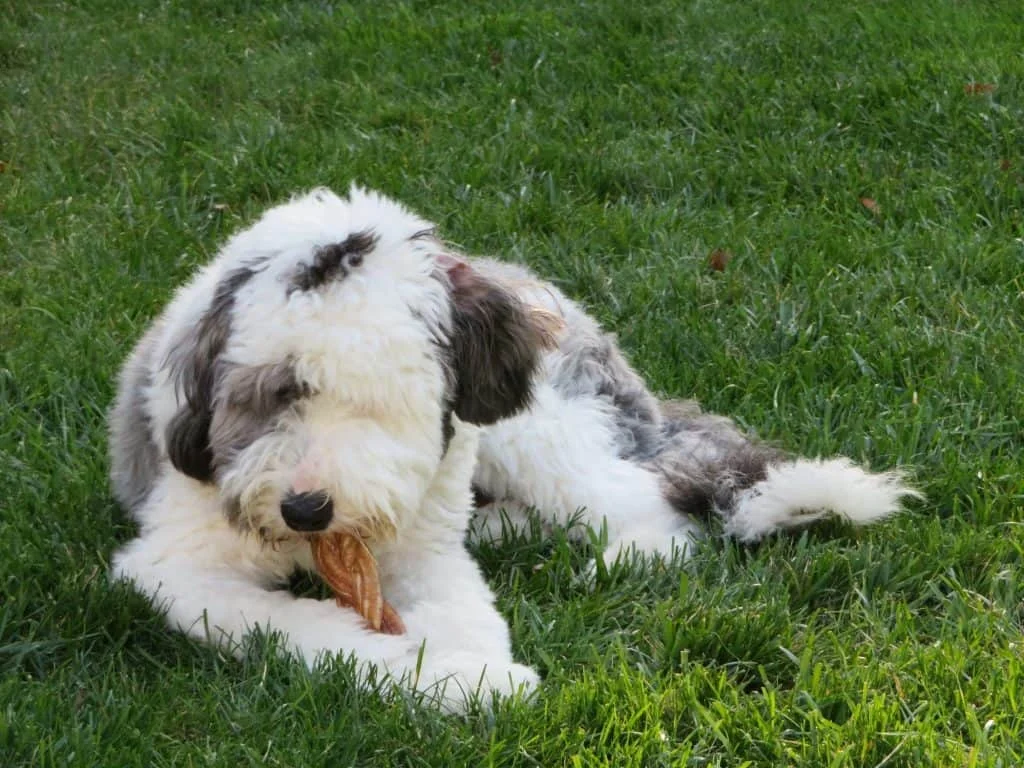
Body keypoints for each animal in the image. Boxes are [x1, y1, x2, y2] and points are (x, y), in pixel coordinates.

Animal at [110, 186, 921, 716]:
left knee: (650, 505)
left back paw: (615, 558)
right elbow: (298, 626)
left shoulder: (425, 545)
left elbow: (466, 616)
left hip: (530, 423)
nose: (307, 508)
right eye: (276, 393)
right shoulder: (173, 571)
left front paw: (471, 676)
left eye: (382, 402)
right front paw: (440, 676)